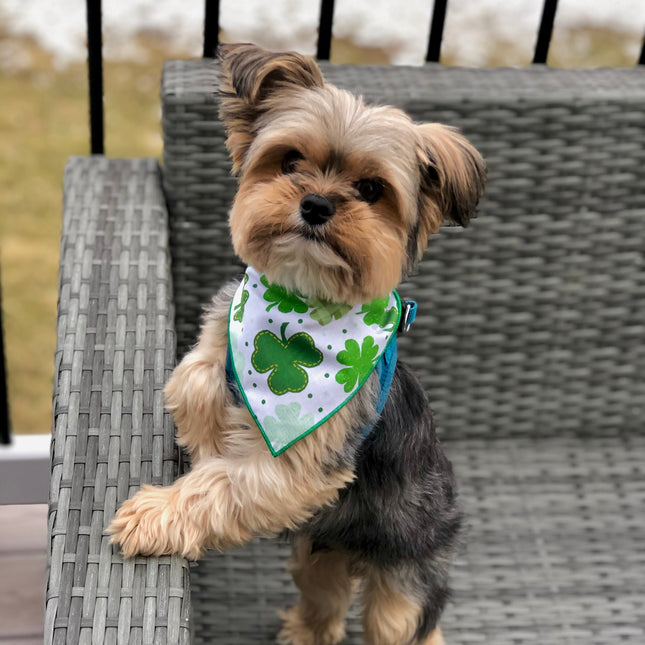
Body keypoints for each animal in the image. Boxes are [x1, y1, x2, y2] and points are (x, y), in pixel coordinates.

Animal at [108, 42, 486, 640]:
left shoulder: (294, 467)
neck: (298, 313)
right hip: (318, 554)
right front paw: (210, 428)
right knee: (326, 598)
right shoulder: (225, 330)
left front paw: (155, 514)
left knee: (408, 621)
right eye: (288, 161)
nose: (316, 204)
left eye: (371, 190)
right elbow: (193, 376)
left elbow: (218, 483)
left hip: (408, 573)